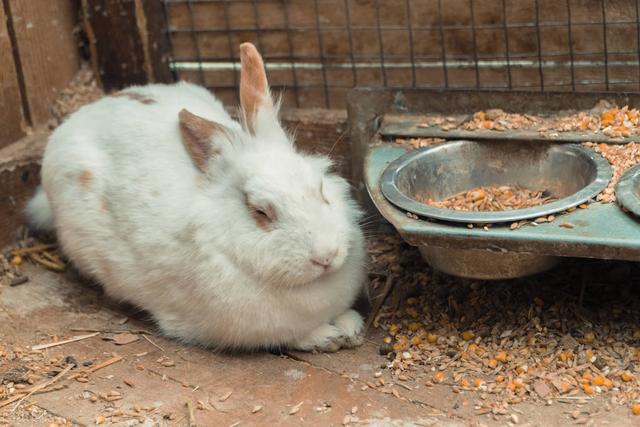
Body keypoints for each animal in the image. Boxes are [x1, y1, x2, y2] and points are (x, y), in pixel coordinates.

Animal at [25, 42, 368, 352]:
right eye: (260, 212)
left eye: (321, 190)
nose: (326, 256)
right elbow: (292, 336)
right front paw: (327, 337)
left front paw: (351, 327)